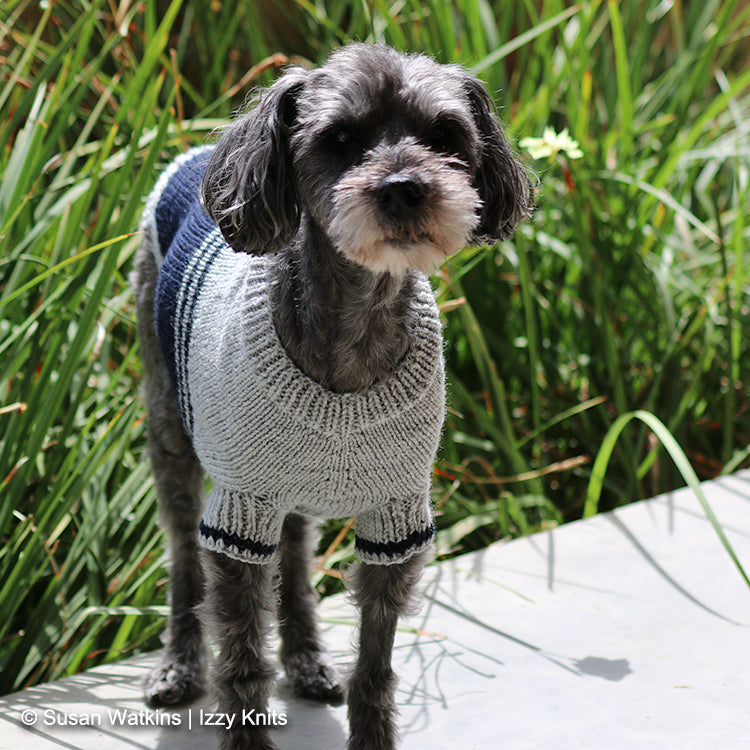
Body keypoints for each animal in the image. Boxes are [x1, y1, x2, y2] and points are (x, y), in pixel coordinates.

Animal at [135, 42, 536, 750]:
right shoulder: (239, 514)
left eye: (444, 135)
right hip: (173, 437)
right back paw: (179, 665)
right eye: (340, 139)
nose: (404, 188)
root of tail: (192, 155)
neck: (356, 329)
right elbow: (241, 664)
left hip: (291, 489)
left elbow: (374, 667)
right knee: (183, 557)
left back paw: (307, 660)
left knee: (295, 560)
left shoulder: (395, 522)